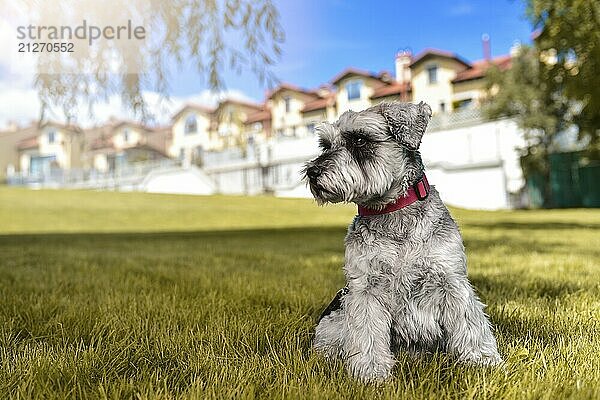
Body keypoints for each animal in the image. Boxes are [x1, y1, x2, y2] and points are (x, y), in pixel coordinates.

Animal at [302, 101, 504, 382]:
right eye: (325, 145)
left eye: (360, 139)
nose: (312, 172)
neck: (393, 214)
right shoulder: (366, 289)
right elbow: (367, 334)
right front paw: (371, 372)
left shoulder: (451, 281)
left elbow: (470, 323)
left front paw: (482, 360)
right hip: (332, 323)